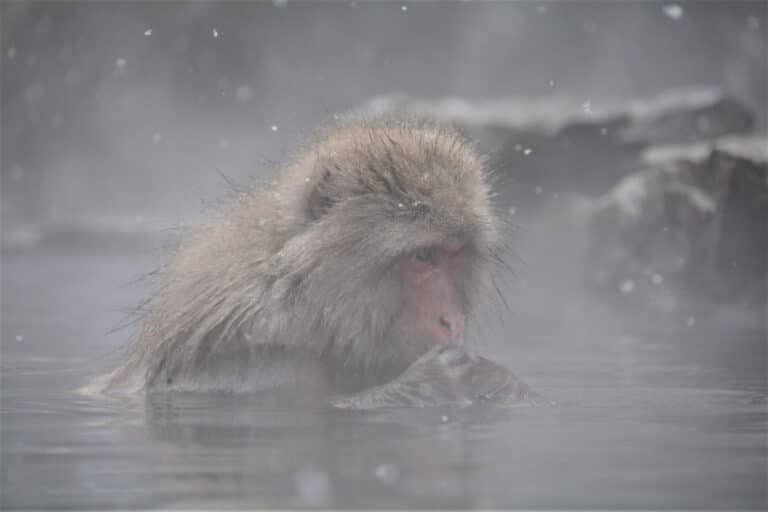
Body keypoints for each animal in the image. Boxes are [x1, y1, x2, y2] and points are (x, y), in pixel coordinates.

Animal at [91, 117, 539, 409]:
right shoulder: (265, 360)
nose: (452, 321)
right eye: (423, 256)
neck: (306, 305)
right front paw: (443, 381)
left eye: (454, 255)